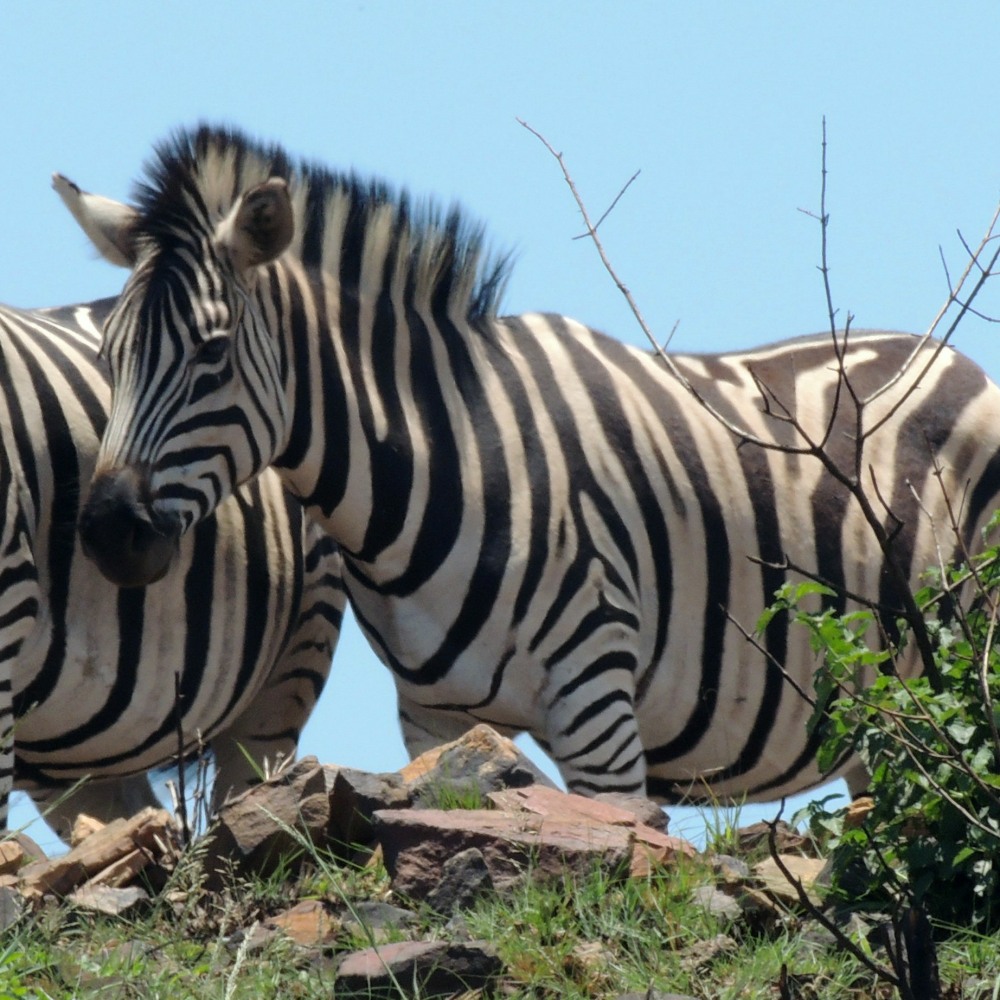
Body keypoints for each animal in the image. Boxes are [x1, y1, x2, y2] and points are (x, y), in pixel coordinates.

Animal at [57, 124, 1000, 805]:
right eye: (109, 353)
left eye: (211, 353)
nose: (105, 534)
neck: (446, 455)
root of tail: (951, 357)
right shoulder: (434, 720)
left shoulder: (597, 703)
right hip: (888, 708)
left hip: (962, 649)